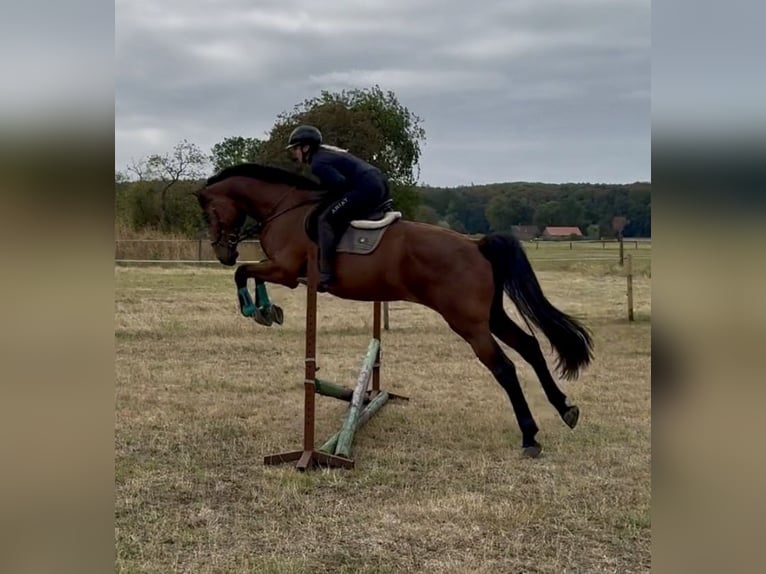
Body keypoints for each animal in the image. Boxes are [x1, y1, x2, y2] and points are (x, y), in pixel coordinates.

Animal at [194, 163, 593, 457]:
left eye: (210, 212)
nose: (222, 253)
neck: (285, 208)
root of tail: (476, 244)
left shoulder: (286, 270)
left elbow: (243, 273)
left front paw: (257, 309)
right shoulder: (281, 270)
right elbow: (248, 273)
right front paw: (266, 310)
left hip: (467, 321)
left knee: (505, 367)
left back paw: (530, 437)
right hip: (489, 315)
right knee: (530, 346)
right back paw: (565, 409)